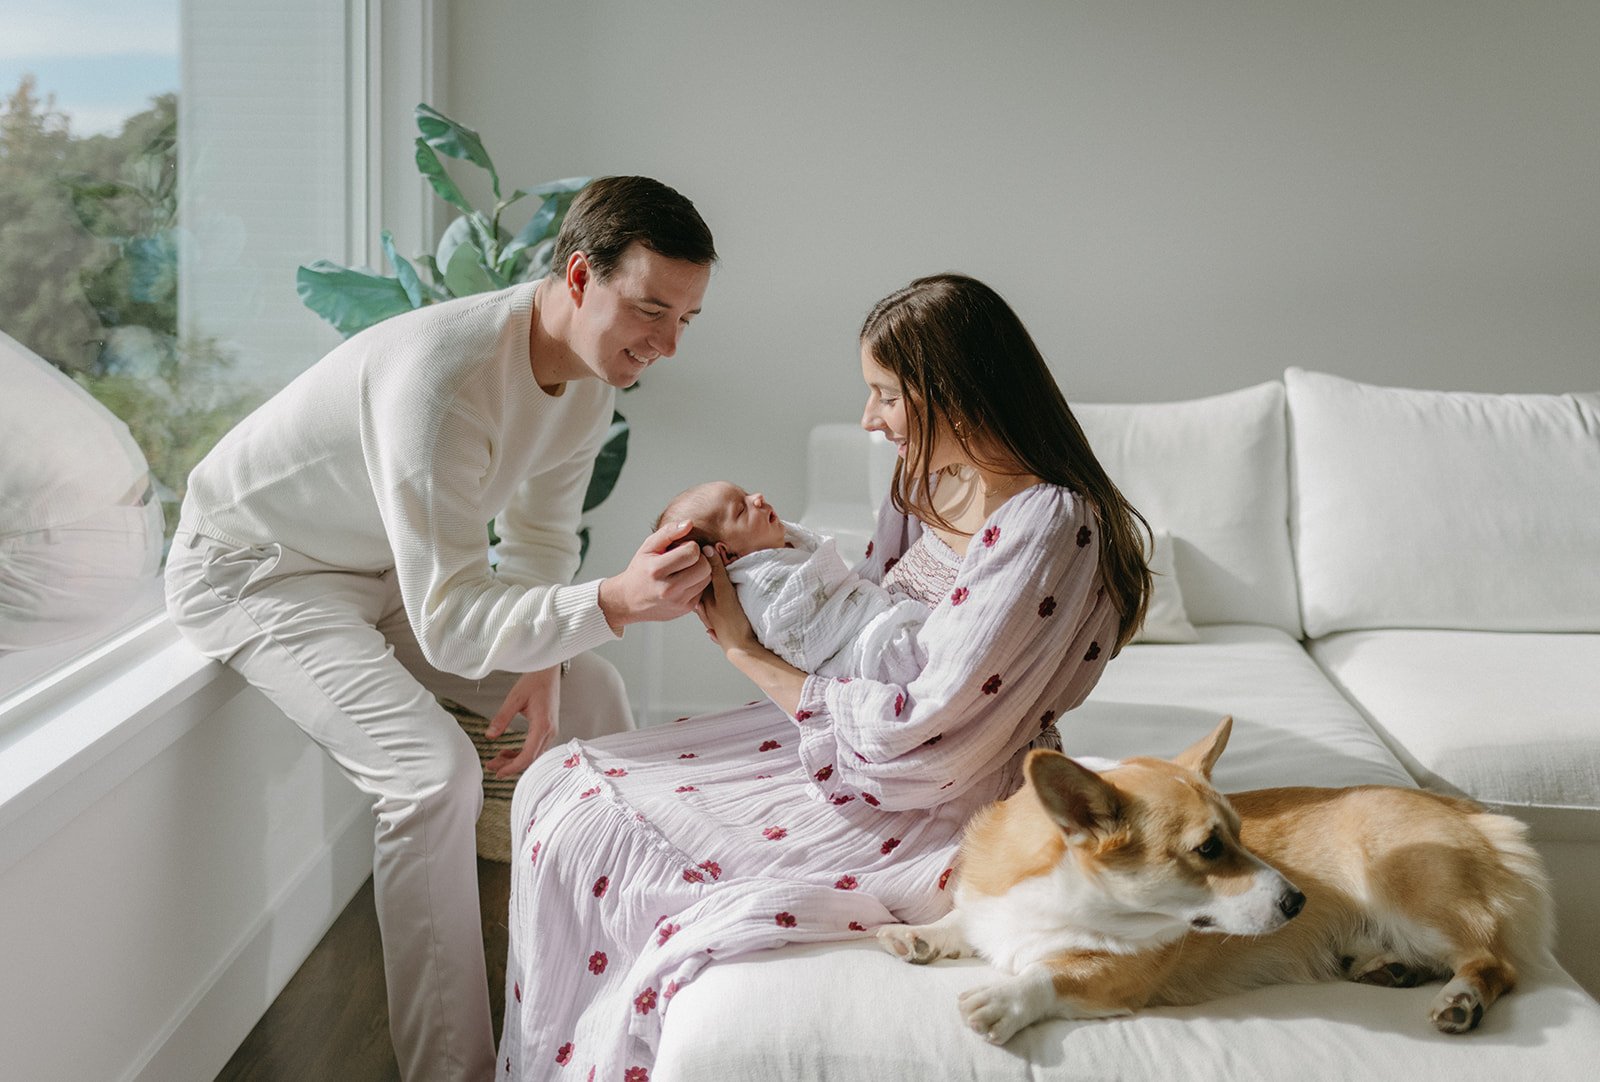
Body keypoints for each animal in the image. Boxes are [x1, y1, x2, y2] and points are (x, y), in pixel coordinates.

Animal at [876, 713, 1548, 1043]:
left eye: (1242, 837)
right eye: (1209, 848)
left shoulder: (1115, 976)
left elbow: (1046, 975)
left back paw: (1460, 1001)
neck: (1061, 894)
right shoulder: (989, 907)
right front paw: (919, 936)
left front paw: (1002, 1000)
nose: (1299, 900)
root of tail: (1473, 813)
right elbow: (962, 920)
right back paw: (1391, 969)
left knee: (1492, 961)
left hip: (1410, 893)